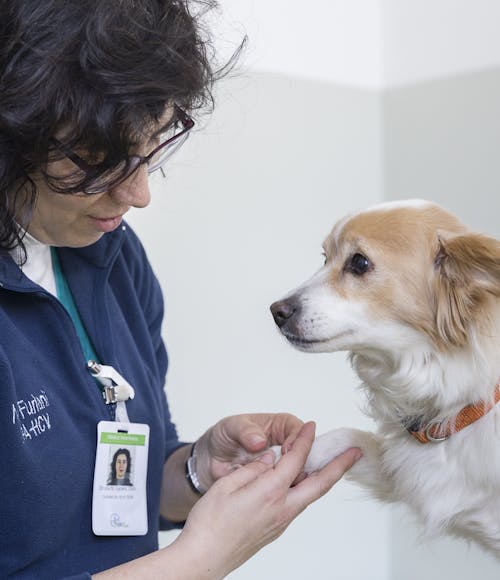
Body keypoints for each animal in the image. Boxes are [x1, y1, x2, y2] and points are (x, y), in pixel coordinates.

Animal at [272, 201, 500, 556]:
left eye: (359, 262)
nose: (276, 311)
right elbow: (348, 437)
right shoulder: (409, 469)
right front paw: (292, 454)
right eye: (324, 258)